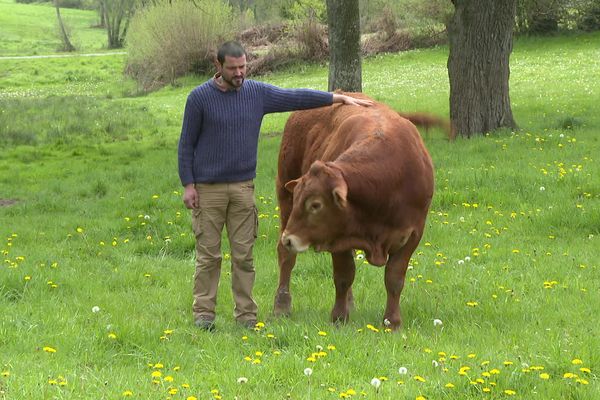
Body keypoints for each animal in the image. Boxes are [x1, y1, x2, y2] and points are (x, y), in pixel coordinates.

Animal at [274, 92, 434, 330]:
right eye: (298, 200)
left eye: (316, 204)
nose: (289, 239)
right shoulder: (336, 235)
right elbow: (344, 276)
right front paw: (339, 318)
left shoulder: (413, 234)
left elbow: (394, 278)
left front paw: (392, 322)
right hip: (284, 196)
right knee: (286, 258)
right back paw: (282, 305)